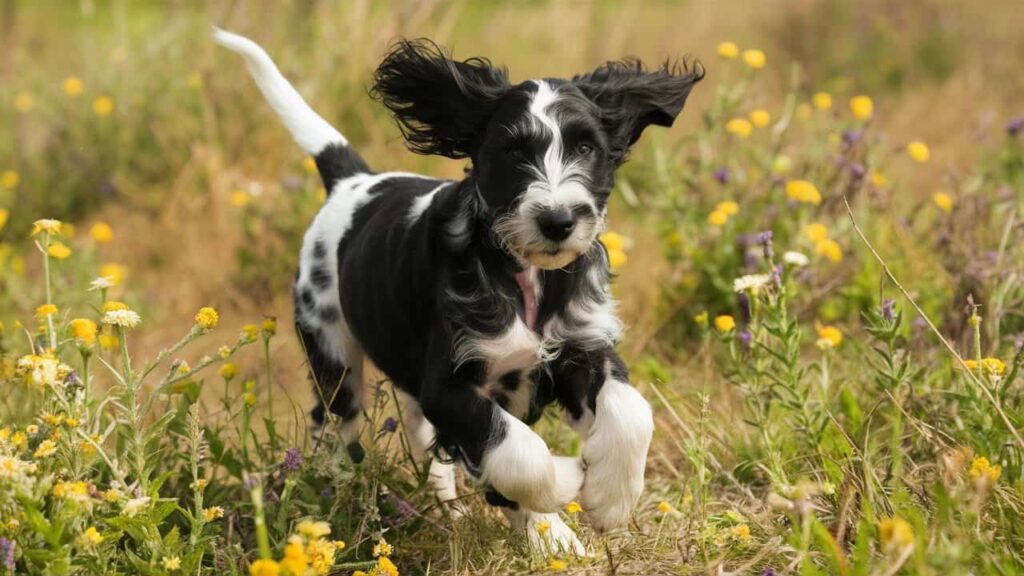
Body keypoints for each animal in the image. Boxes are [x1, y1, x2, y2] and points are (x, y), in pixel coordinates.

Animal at [211, 28, 700, 553]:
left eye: (587, 148)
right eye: (512, 152)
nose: (558, 221)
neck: (525, 275)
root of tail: (354, 181)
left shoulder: (581, 348)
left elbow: (631, 410)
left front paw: (610, 497)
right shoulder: (449, 385)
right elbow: (517, 454)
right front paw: (565, 491)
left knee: (425, 443)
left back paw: (460, 513)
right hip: (332, 352)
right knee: (334, 425)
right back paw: (330, 494)